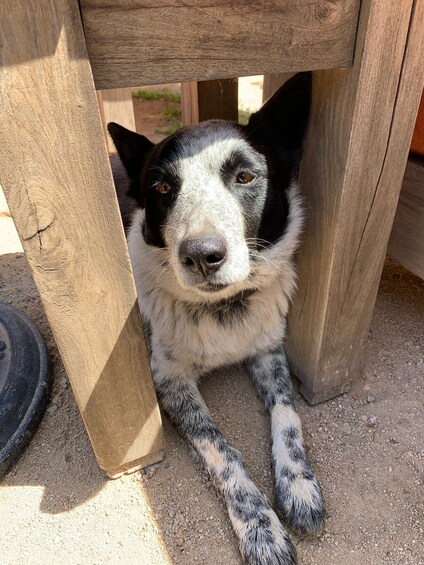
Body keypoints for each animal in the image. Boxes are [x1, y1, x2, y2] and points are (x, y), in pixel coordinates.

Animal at [108, 71, 324, 564]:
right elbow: (223, 450)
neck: (225, 308)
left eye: (245, 176)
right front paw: (261, 528)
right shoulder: (170, 382)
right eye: (162, 188)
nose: (202, 256)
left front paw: (299, 486)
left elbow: (289, 416)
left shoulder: (269, 350)